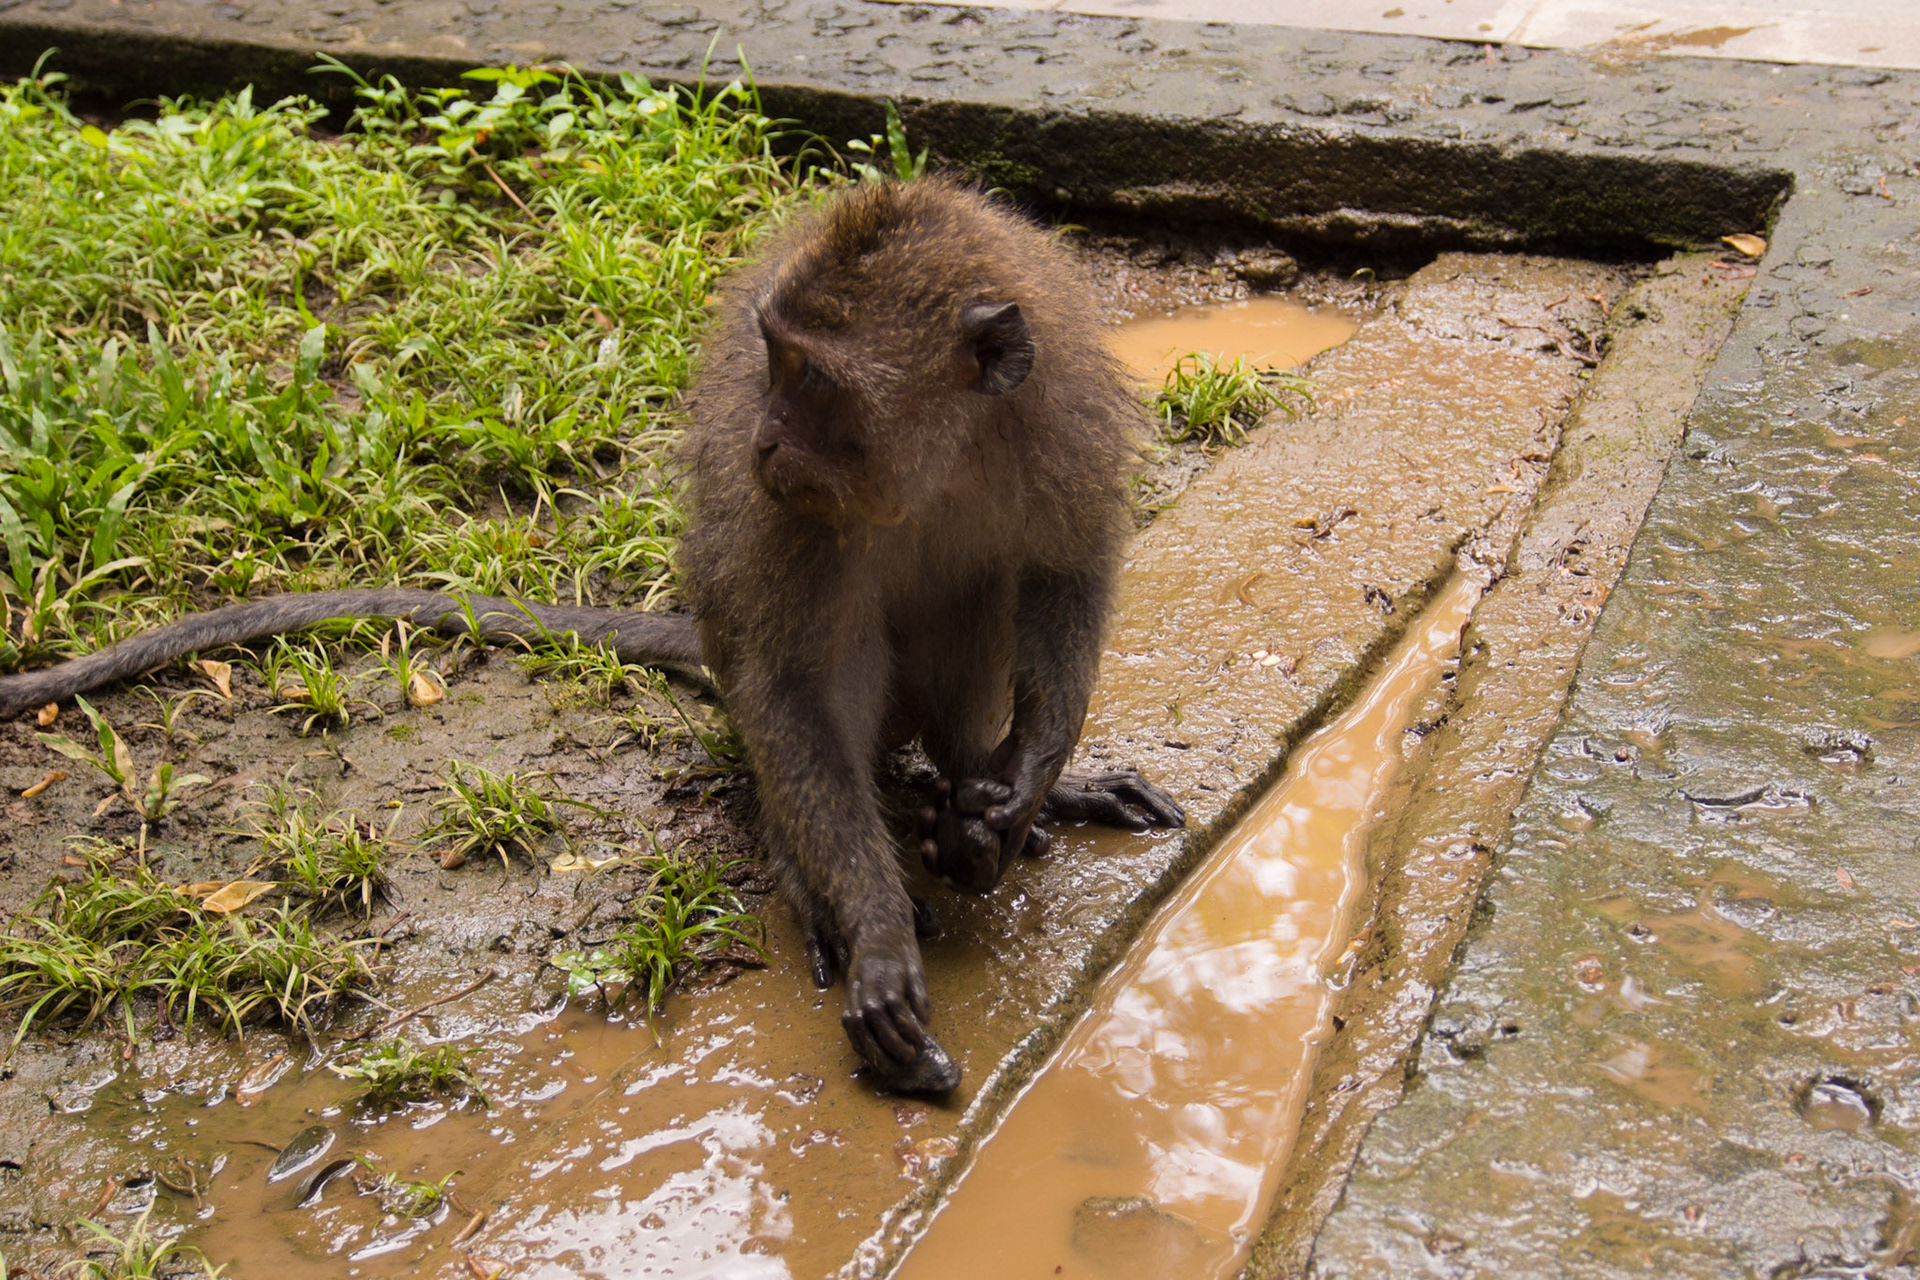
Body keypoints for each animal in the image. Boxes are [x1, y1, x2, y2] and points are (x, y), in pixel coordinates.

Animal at [0, 178, 1183, 1094]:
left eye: (813, 376)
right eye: (774, 362)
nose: (763, 437)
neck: (939, 462)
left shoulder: (1057, 422)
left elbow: (1066, 573)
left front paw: (1028, 776)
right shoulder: (785, 514)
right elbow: (792, 685)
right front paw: (876, 930)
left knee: (976, 598)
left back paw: (975, 798)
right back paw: (825, 861)